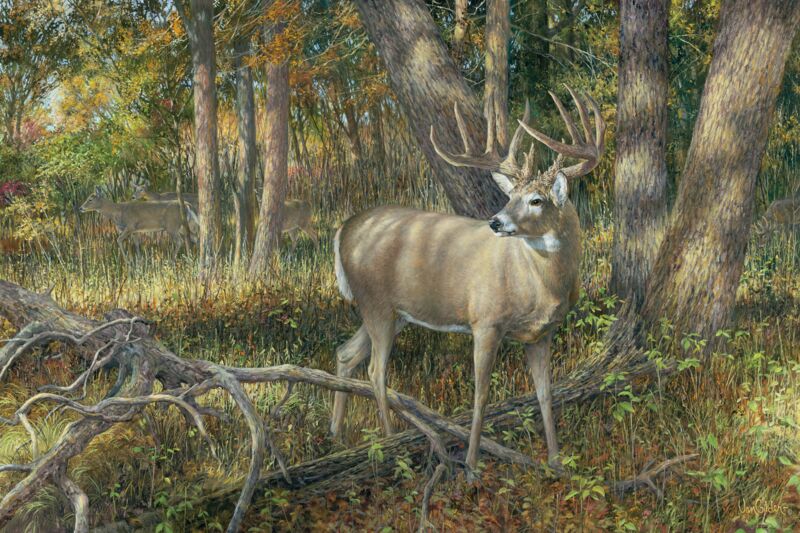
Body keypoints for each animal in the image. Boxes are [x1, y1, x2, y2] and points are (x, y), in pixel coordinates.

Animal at [132, 183, 319, 251]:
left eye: (140, 189)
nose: (133, 195)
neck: (157, 197)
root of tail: (310, 204)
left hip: (302, 223)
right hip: (295, 227)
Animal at [330, 86, 605, 477]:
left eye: (536, 200)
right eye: (510, 196)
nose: (496, 221)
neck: (539, 286)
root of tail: (343, 229)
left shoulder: (542, 333)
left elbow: (545, 392)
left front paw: (557, 462)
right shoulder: (485, 321)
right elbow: (481, 392)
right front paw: (472, 466)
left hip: (392, 313)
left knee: (346, 353)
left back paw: (337, 434)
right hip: (375, 302)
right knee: (376, 371)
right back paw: (392, 445)